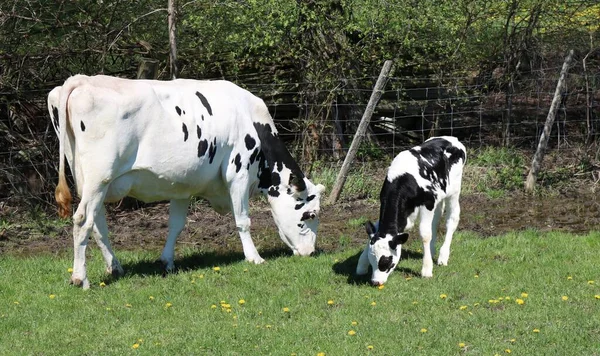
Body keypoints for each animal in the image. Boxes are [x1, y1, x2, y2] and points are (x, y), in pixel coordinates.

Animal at [49, 75, 326, 290]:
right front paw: (254, 257)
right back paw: (80, 278)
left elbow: (176, 225)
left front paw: (167, 261)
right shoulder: (238, 173)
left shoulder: (180, 186)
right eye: (310, 215)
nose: (311, 253)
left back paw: (114, 267)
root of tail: (82, 80)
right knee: (83, 220)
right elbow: (243, 220)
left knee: (97, 224)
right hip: (99, 177)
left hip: (90, 181)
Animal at [354, 135, 466, 286]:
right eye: (372, 261)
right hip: (439, 196)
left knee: (451, 220)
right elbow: (375, 231)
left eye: (388, 261)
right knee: (436, 220)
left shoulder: (427, 203)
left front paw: (426, 270)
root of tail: (451, 138)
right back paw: (432, 251)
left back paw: (443, 256)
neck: (403, 180)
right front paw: (361, 265)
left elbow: (425, 234)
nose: (376, 282)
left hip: (454, 191)